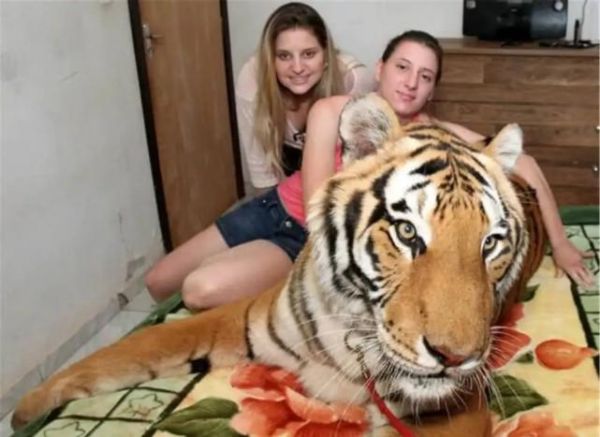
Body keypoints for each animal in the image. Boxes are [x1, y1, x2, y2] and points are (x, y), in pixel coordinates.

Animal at [12, 92, 531, 436]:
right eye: (407, 233)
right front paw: (29, 406)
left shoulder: (457, 408)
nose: (456, 358)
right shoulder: (243, 318)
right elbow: (138, 344)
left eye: (490, 243)